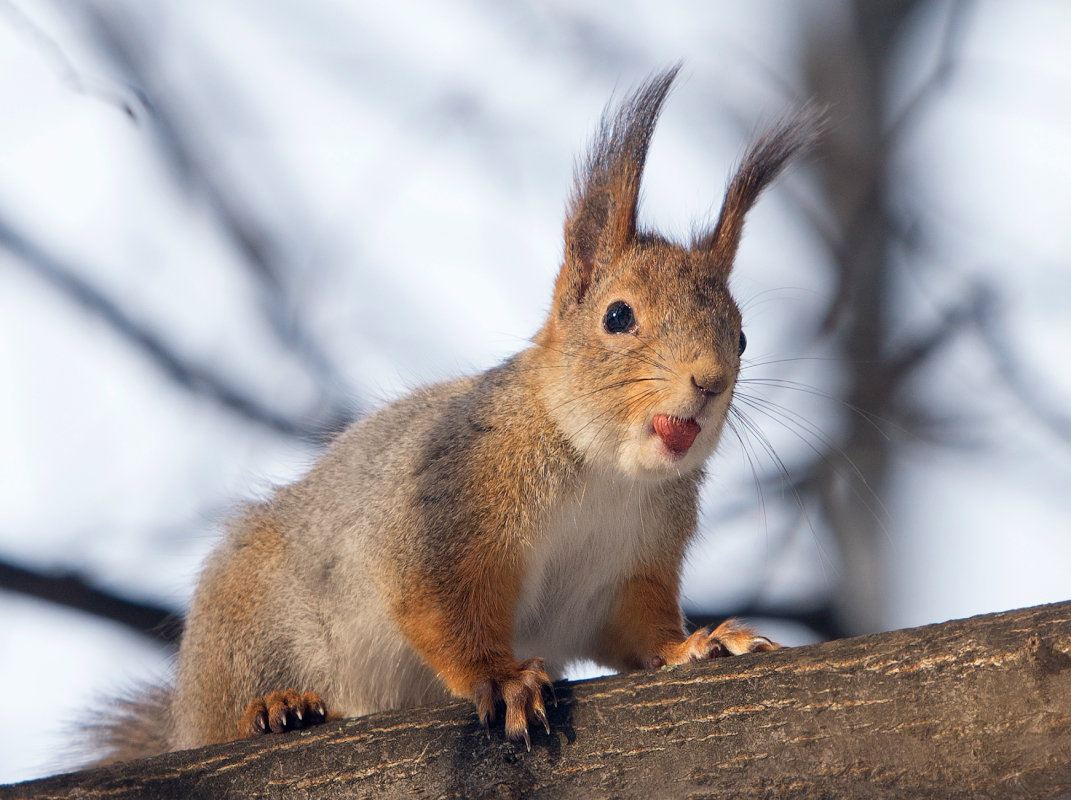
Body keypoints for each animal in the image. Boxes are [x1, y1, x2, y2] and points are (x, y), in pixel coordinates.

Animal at [94, 65, 818, 762]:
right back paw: (275, 706)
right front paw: (501, 679)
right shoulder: (445, 512)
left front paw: (696, 645)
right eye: (618, 316)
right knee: (240, 700)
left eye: (742, 337)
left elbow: (638, 631)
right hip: (247, 625)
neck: (601, 468)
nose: (710, 380)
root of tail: (185, 721)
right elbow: (440, 610)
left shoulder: (628, 573)